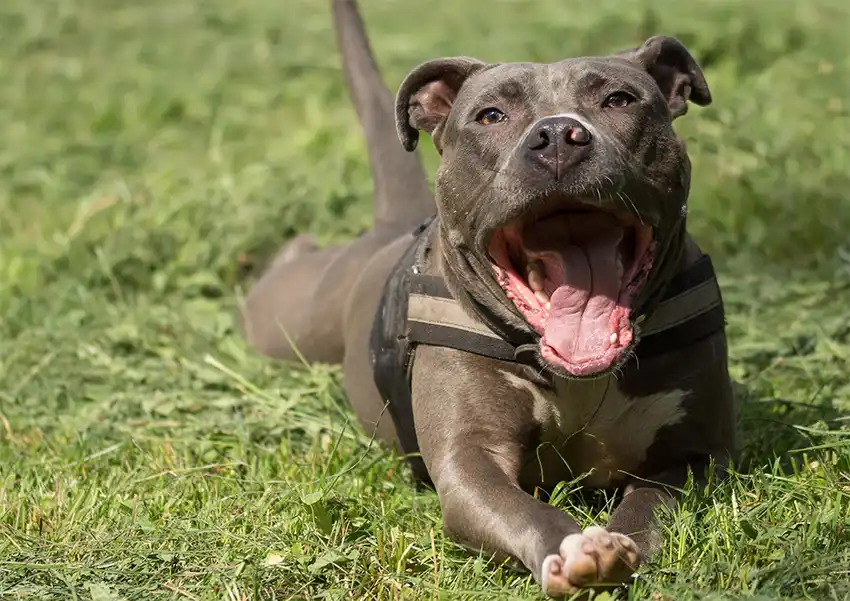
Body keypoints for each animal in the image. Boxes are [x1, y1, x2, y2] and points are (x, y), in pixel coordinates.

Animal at [240, 0, 736, 592]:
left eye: (619, 99)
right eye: (491, 115)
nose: (558, 135)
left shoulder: (697, 453)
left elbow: (650, 502)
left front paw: (623, 543)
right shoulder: (469, 463)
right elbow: (523, 509)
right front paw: (573, 548)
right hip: (287, 318)